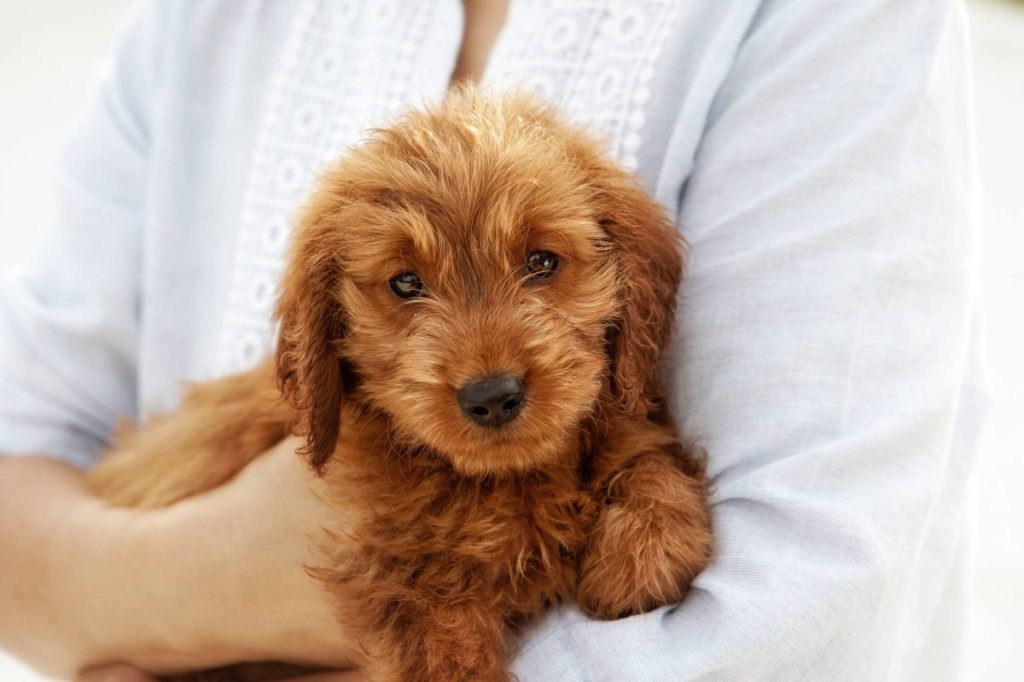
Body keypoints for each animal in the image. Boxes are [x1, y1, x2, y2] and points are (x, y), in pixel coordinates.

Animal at [90, 87, 712, 675]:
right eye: (406, 282)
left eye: (542, 262)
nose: (492, 397)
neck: (499, 481)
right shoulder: (404, 586)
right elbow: (448, 662)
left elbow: (647, 456)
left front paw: (641, 555)